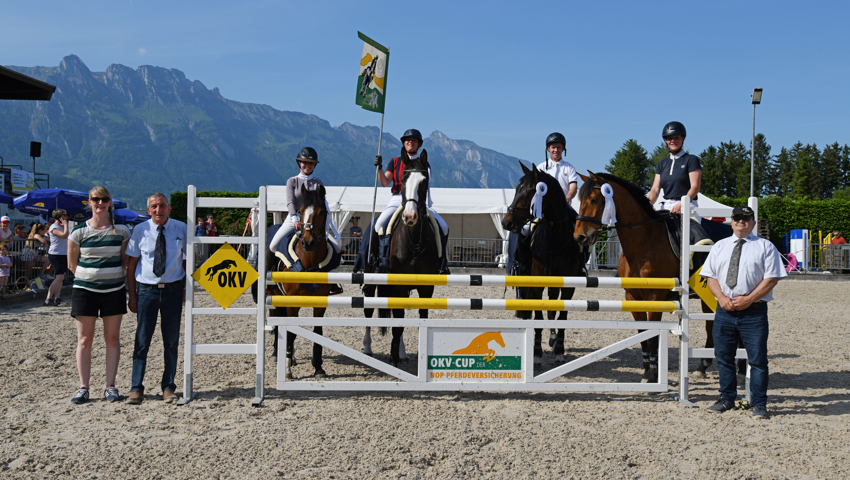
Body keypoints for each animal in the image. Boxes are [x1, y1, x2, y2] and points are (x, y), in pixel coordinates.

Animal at [268, 184, 332, 378]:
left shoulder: (320, 303)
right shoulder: (291, 302)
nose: (308, 242)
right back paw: (278, 355)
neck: (308, 260)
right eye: (301, 211)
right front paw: (288, 370)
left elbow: (318, 331)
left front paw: (318, 367)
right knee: (278, 322)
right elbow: (290, 333)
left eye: (322, 212)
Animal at [500, 161, 588, 364]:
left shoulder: (568, 285)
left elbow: (561, 316)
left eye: (530, 191)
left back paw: (554, 338)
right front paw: (537, 353)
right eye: (516, 189)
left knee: (552, 307)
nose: (506, 223)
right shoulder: (537, 283)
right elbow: (539, 316)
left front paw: (559, 350)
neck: (556, 240)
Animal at [572, 172, 740, 382]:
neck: (643, 243)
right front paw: (647, 370)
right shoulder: (633, 297)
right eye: (580, 200)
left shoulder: (655, 297)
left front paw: (652, 374)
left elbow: (652, 338)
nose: (579, 237)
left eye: (594, 199)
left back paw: (713, 366)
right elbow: (643, 334)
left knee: (713, 323)